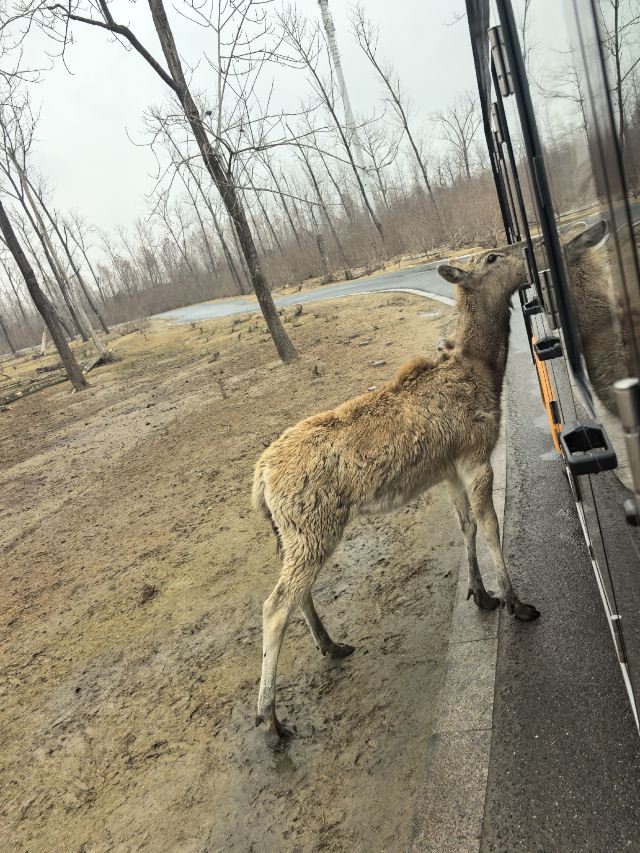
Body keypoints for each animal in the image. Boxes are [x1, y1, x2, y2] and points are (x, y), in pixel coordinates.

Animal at [252, 244, 540, 752]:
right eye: (490, 257)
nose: (527, 246)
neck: (488, 369)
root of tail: (260, 481)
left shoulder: (448, 468)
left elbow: (467, 525)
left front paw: (481, 594)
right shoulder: (476, 454)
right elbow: (491, 526)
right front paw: (514, 601)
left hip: (294, 535)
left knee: (296, 592)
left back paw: (331, 645)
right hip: (311, 528)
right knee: (274, 605)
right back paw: (270, 719)